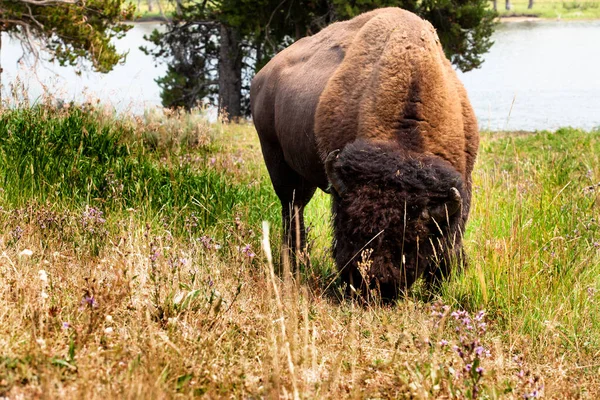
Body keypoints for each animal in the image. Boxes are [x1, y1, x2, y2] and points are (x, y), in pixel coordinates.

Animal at [248, 7, 478, 300]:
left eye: (409, 241)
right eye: (352, 231)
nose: (375, 285)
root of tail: (262, 76)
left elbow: (449, 246)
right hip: (277, 160)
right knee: (292, 210)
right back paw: (296, 265)